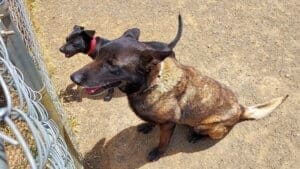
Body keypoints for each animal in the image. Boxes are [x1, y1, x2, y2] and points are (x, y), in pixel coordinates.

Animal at [69, 15, 288, 162]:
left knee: (209, 131)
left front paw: (158, 152)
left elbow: (163, 141)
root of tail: (241, 109)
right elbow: (150, 121)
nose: (74, 78)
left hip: (209, 127)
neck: (151, 84)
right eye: (98, 55)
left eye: (113, 65)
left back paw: (196, 135)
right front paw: (147, 125)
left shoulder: (168, 125)